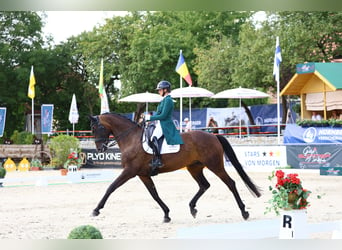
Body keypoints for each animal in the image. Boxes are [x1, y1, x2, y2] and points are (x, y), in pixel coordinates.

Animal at [89, 113, 260, 223]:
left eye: (97, 128)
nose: (100, 149)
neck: (131, 139)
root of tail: (213, 136)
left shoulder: (129, 171)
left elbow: (111, 187)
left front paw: (96, 210)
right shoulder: (143, 174)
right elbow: (154, 194)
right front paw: (166, 214)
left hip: (215, 165)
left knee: (230, 183)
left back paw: (244, 212)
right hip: (194, 168)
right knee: (204, 185)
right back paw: (192, 208)